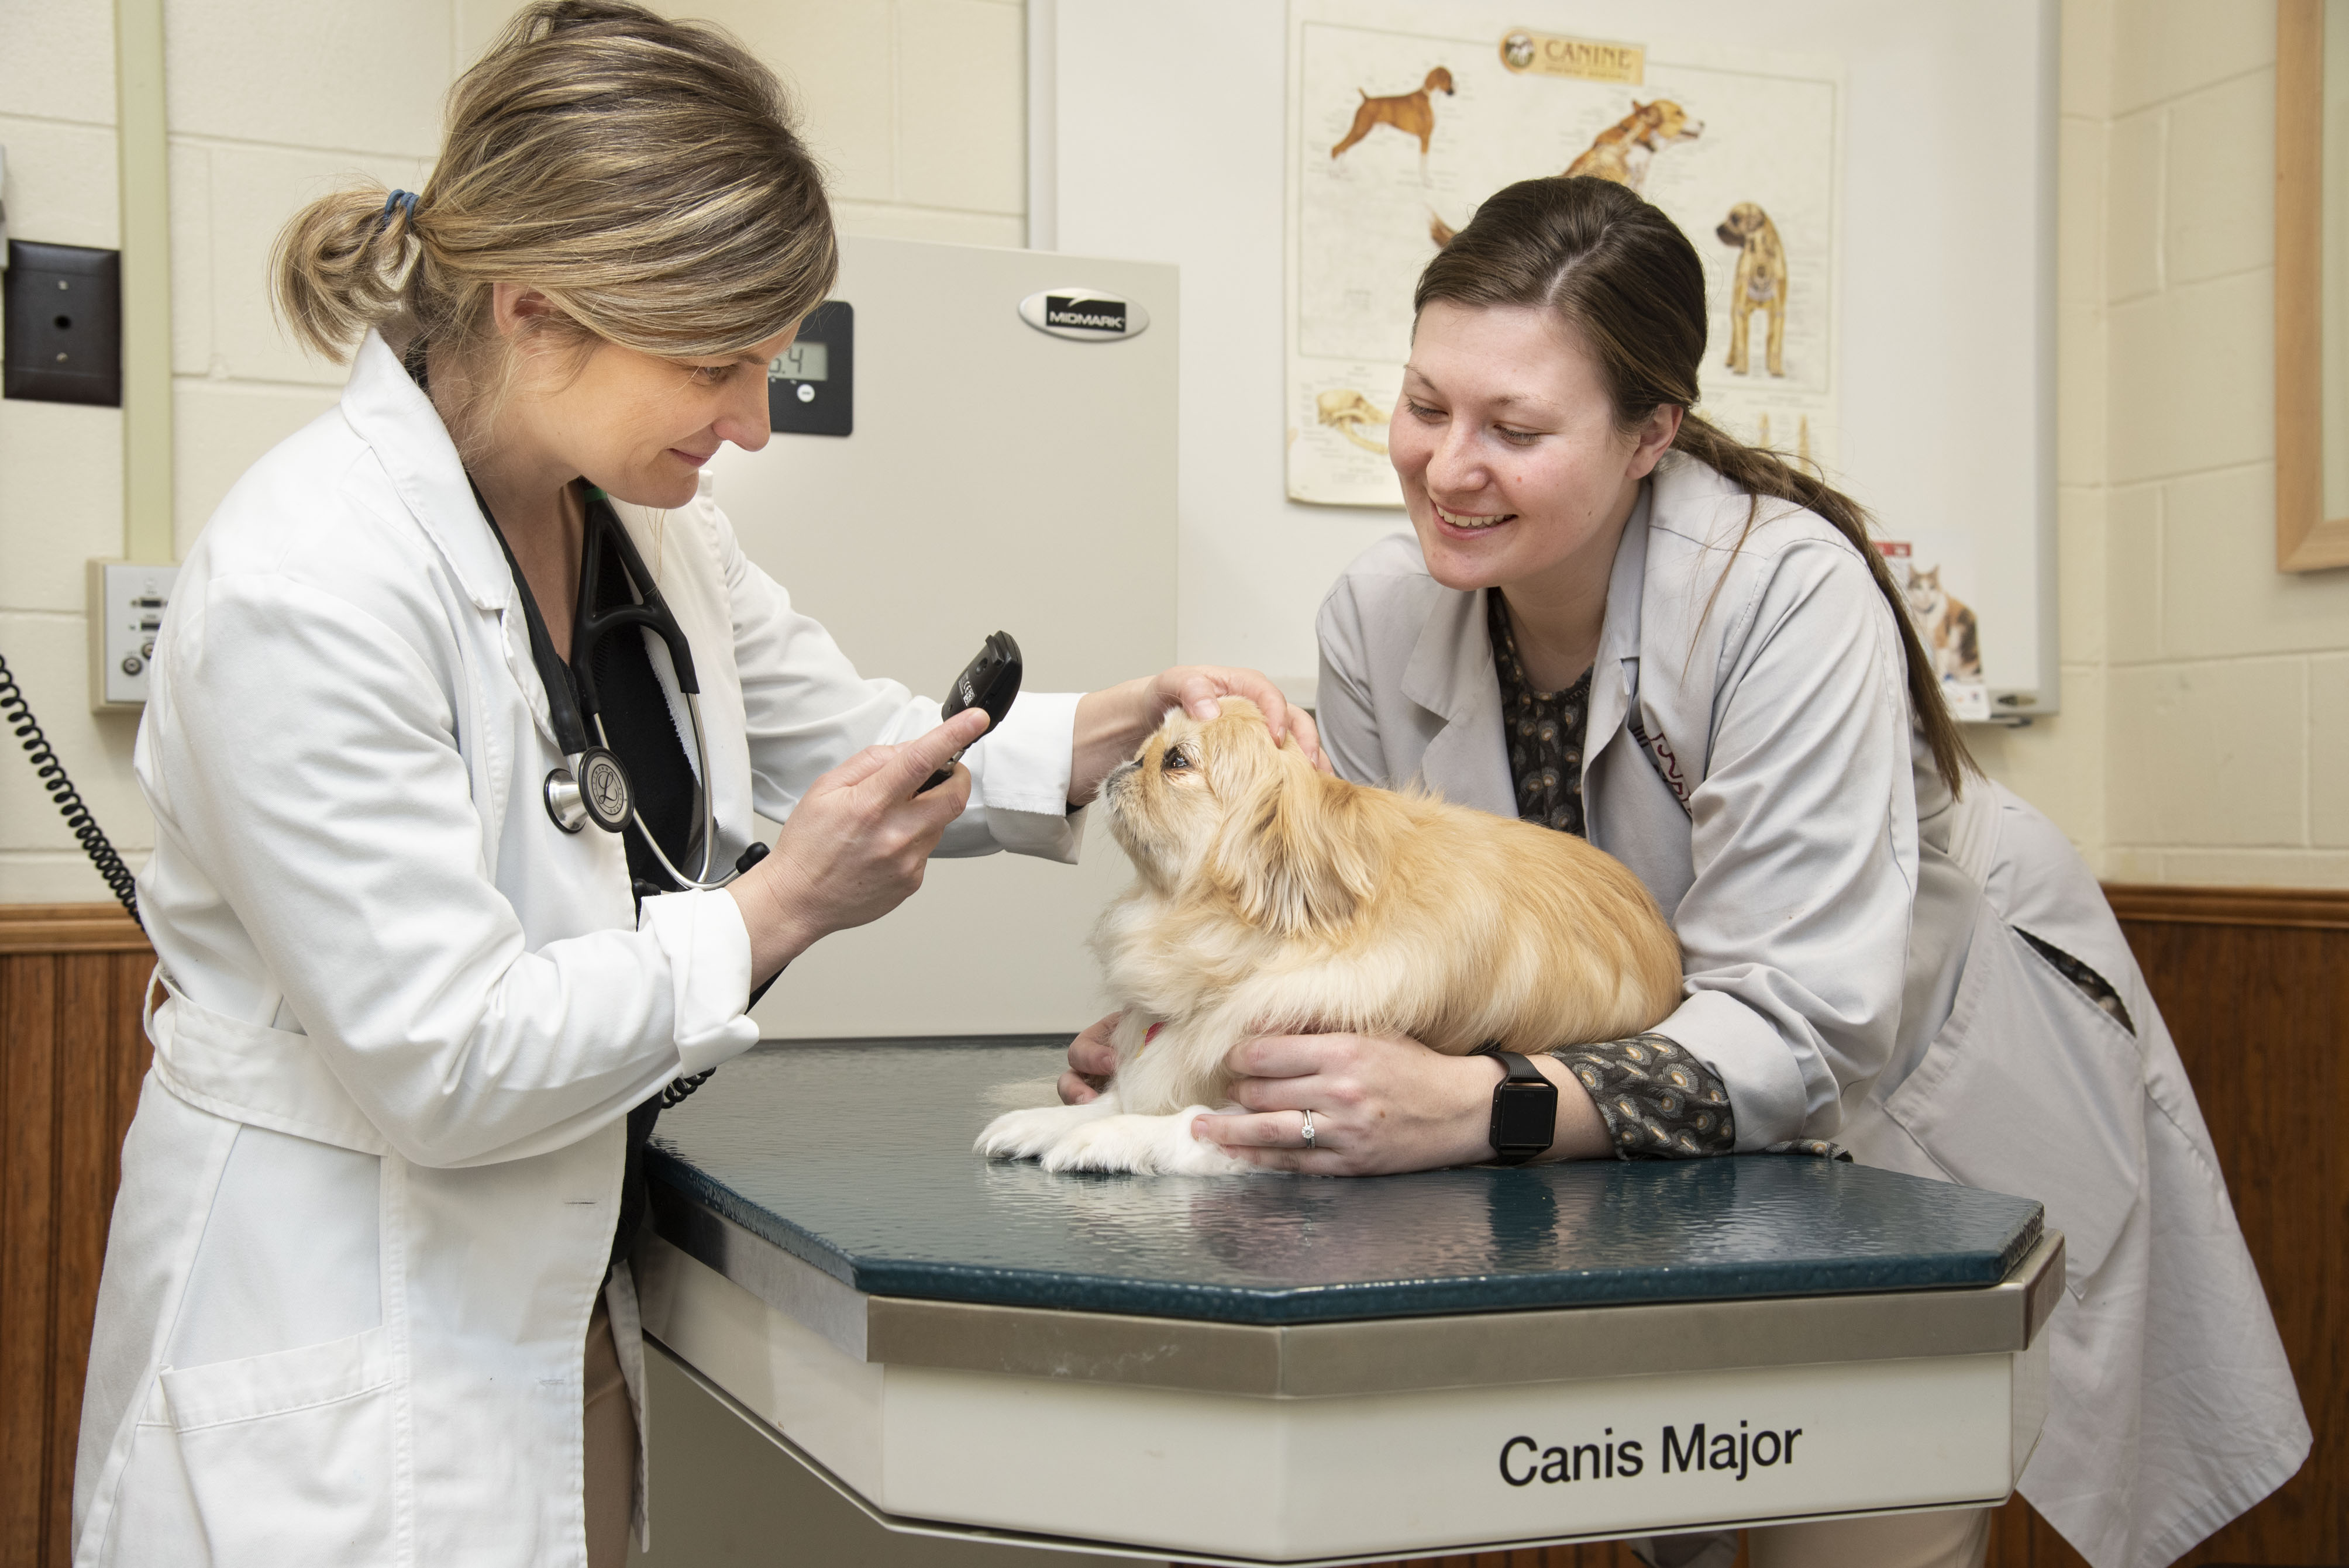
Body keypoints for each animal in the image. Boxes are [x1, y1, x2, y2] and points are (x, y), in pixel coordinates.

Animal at [977, 704, 1691, 1169]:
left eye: (1175, 760)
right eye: (1147, 747)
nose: (1127, 760)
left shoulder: (1286, 1098)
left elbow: (1190, 1124)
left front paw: (1110, 1139)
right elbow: (1118, 1095)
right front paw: (1044, 1121)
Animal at [1719, 202, 1785, 375]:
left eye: (1735, 219)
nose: (1717, 230)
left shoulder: (1778, 312)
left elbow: (1775, 343)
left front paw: (1776, 369)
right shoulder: (1741, 310)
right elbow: (1741, 343)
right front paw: (1741, 368)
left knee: (1770, 336)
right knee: (1736, 336)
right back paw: (1732, 360)